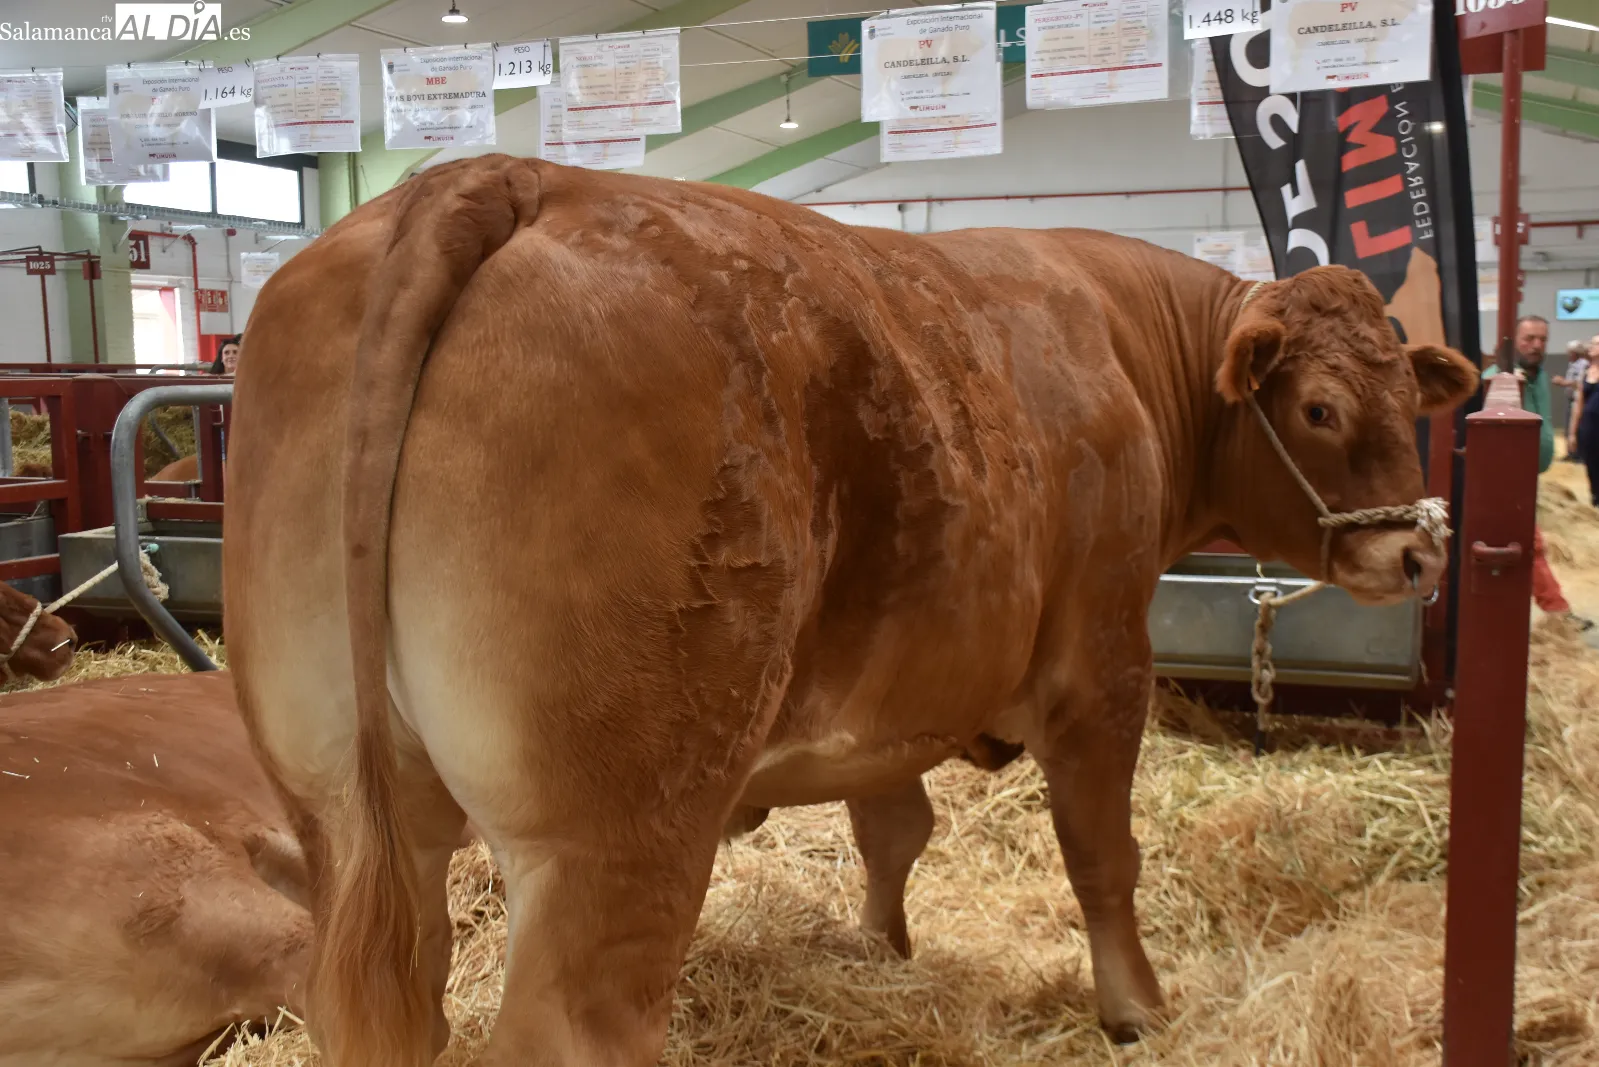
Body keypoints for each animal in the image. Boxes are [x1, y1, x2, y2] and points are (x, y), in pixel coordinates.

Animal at [223, 156, 1479, 1067]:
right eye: (1320, 407)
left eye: (1410, 394)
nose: (1418, 550)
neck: (1125, 345)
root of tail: (500, 175)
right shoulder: (1103, 663)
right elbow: (1101, 852)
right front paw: (1136, 1007)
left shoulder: (896, 684)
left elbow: (894, 827)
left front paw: (877, 947)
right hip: (612, 836)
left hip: (345, 808)